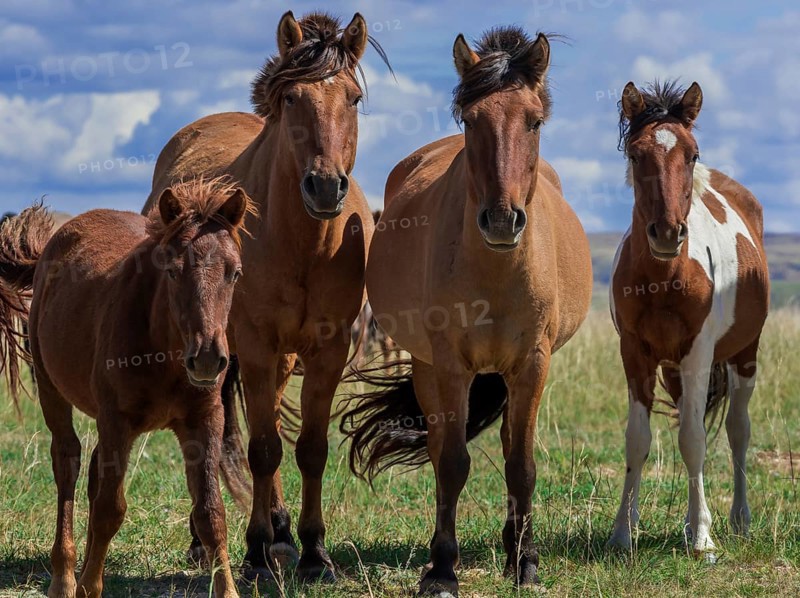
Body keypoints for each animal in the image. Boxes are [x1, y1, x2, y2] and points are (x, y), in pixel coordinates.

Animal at [0, 178, 252, 598]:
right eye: (173, 271)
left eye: (234, 273)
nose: (206, 358)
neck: (164, 351)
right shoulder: (117, 420)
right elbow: (110, 509)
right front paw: (88, 585)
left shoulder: (204, 419)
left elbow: (211, 513)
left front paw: (228, 590)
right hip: (53, 390)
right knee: (67, 462)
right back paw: (64, 578)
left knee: (93, 473)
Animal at [141, 11, 386, 581]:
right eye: (292, 97)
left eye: (353, 98)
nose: (325, 186)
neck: (305, 243)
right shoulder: (251, 346)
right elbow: (261, 451)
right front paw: (253, 553)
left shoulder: (327, 350)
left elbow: (309, 450)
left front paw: (314, 552)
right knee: (221, 442)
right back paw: (208, 540)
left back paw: (281, 531)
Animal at [340, 27, 593, 595]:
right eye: (472, 120)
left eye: (534, 120)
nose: (501, 220)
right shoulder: (451, 365)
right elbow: (452, 463)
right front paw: (442, 569)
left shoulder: (533, 364)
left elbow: (521, 464)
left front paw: (525, 562)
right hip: (428, 367)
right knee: (440, 451)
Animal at [607, 81, 770, 561]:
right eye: (635, 154)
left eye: (692, 154)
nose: (667, 233)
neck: (664, 278)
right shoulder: (636, 353)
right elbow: (638, 440)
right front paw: (622, 532)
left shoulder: (699, 352)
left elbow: (695, 441)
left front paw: (702, 539)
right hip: (675, 370)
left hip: (743, 355)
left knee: (737, 430)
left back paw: (738, 519)